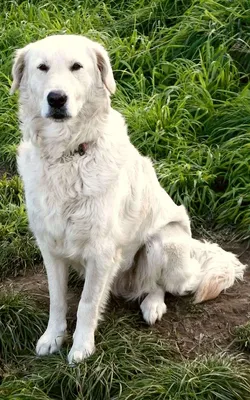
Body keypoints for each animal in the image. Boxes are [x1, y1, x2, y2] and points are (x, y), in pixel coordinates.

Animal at [11, 35, 246, 362]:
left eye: (76, 67)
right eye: (42, 67)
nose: (56, 98)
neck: (67, 156)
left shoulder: (101, 252)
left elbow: (86, 305)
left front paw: (81, 348)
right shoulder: (50, 247)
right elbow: (57, 300)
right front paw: (52, 338)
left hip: (163, 244)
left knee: (163, 284)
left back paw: (153, 306)